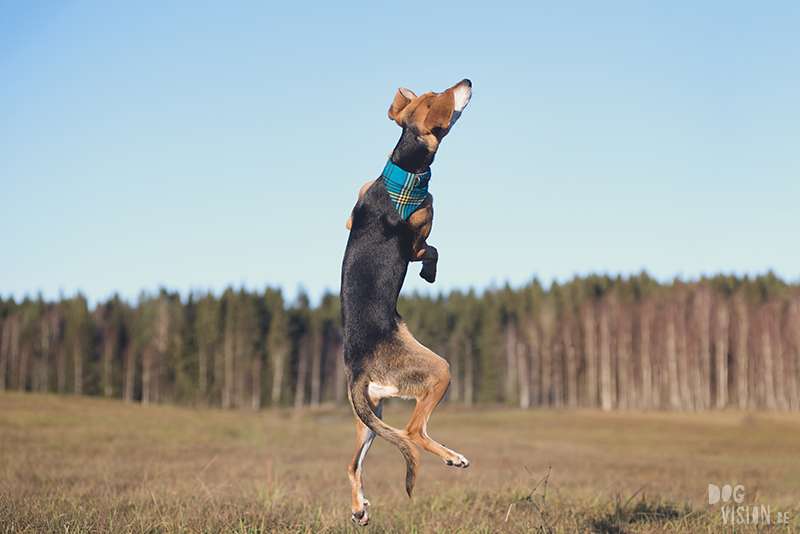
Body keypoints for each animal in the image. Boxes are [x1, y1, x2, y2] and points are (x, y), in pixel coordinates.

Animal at [340, 79, 472, 528]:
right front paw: (429, 273)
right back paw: (453, 457)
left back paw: (359, 508)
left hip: (371, 416)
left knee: (353, 464)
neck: (403, 170)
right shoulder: (416, 241)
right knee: (414, 433)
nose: (467, 82)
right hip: (437, 371)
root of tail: (359, 367)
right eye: (446, 95)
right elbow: (431, 249)